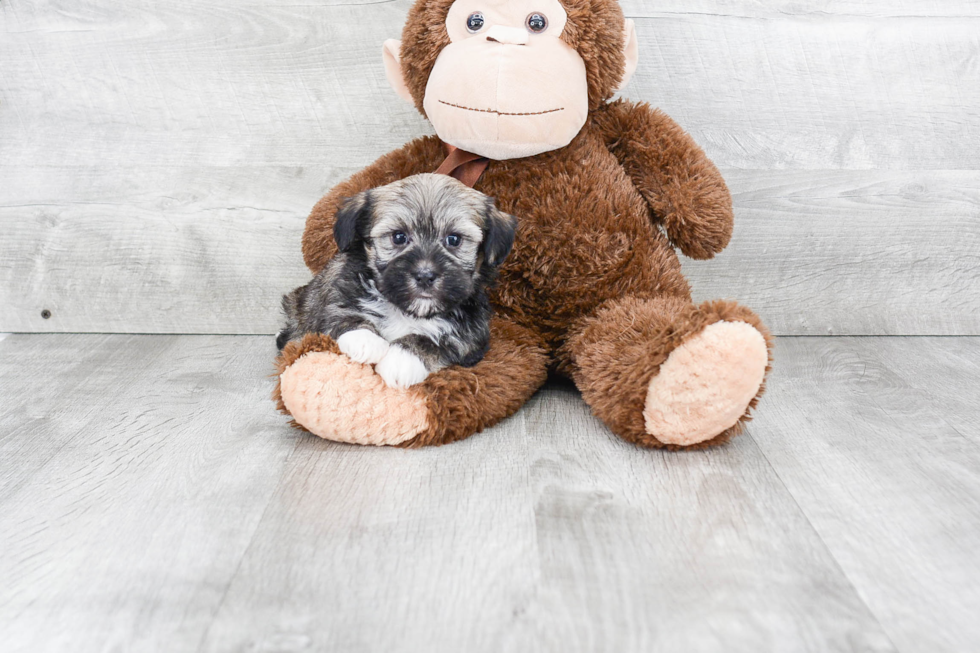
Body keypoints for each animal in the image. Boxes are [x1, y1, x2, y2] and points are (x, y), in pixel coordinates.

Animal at [276, 172, 516, 388]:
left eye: (454, 239)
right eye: (398, 237)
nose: (425, 275)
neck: (406, 310)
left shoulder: (472, 334)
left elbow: (440, 341)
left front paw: (402, 359)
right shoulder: (335, 292)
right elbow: (340, 312)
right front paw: (365, 339)